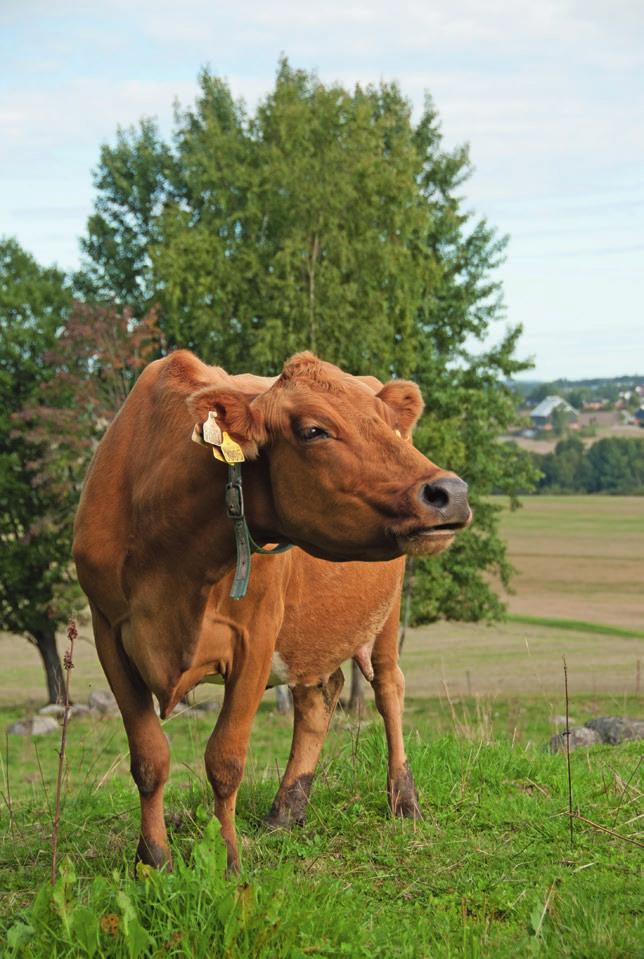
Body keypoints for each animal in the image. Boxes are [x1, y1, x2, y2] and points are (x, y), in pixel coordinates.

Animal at [73, 350, 470, 872]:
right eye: (314, 430)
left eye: (388, 424)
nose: (451, 492)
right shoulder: (109, 633)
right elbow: (149, 757)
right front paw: (153, 858)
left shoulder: (255, 636)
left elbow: (225, 760)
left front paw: (228, 861)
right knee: (320, 696)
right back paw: (287, 808)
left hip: (385, 612)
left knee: (388, 689)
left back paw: (404, 800)